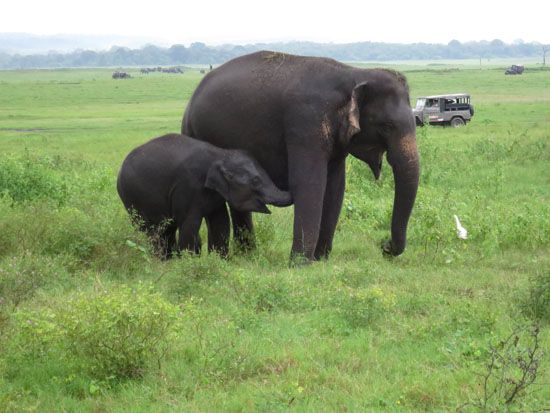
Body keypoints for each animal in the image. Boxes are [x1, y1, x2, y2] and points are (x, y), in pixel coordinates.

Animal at [118, 134, 294, 258]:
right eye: (256, 181)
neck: (221, 154)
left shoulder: (215, 193)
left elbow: (221, 222)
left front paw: (219, 261)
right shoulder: (188, 186)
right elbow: (190, 223)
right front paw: (187, 262)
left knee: (166, 229)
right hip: (134, 198)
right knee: (154, 231)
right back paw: (162, 260)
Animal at [183, 50, 420, 260]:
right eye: (387, 126)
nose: (384, 246)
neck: (354, 73)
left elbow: (335, 187)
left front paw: (321, 260)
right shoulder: (306, 122)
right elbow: (309, 183)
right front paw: (300, 263)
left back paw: (247, 257)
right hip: (194, 132)